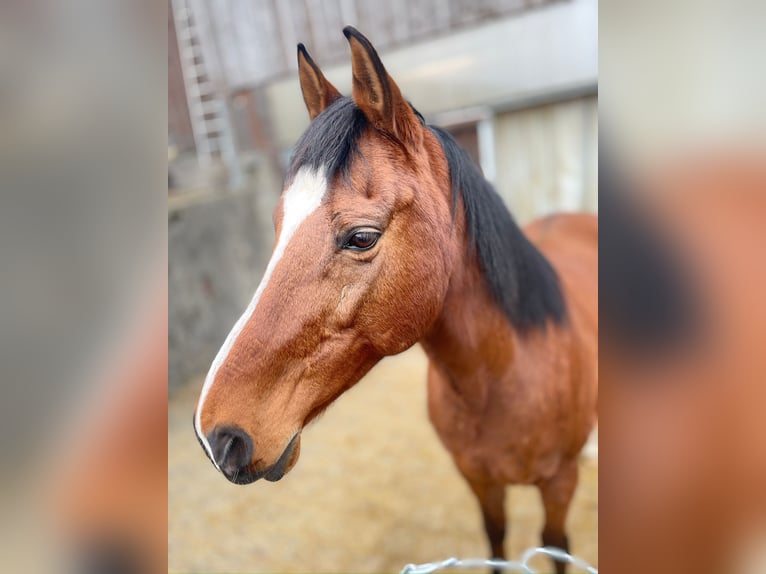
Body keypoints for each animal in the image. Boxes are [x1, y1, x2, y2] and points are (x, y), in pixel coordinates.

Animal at [194, 27, 598, 573]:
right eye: (278, 225)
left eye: (361, 237)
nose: (216, 437)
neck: (504, 378)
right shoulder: (480, 481)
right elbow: (495, 543)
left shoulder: (559, 485)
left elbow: (556, 545)